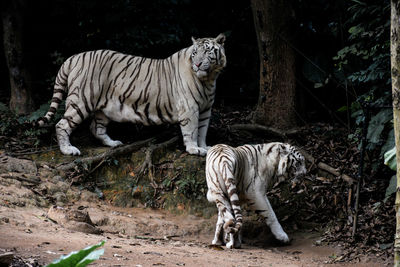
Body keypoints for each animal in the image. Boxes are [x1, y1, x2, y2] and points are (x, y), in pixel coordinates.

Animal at [37, 33, 227, 156]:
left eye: (207, 51)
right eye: (195, 53)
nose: (198, 64)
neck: (209, 79)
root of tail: (74, 57)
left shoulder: (205, 109)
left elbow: (202, 130)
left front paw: (205, 147)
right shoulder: (189, 108)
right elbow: (192, 130)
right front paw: (194, 149)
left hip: (104, 107)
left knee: (96, 127)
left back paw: (113, 143)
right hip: (81, 100)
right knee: (61, 124)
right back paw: (68, 150)